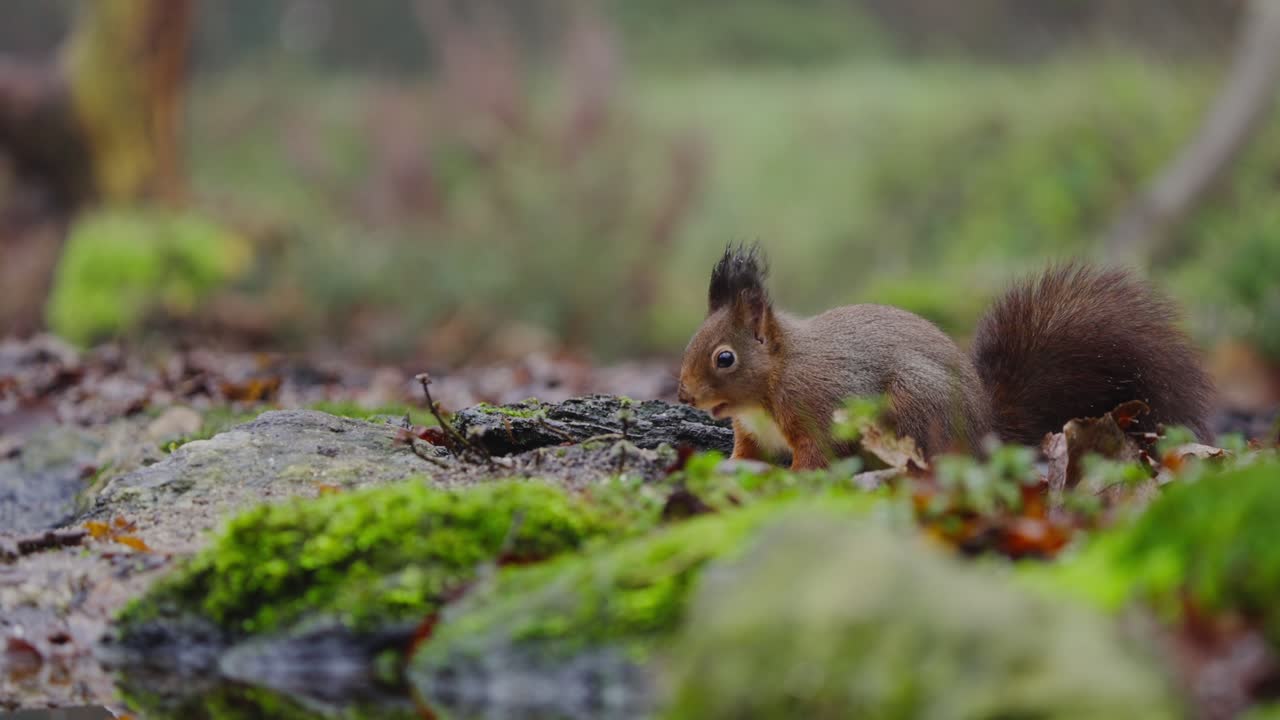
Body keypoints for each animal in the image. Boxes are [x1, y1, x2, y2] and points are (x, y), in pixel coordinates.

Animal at [676, 245, 1214, 469]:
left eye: (725, 358)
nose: (684, 394)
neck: (775, 376)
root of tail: (984, 430)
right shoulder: (752, 434)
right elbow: (746, 454)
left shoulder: (817, 408)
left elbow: (816, 457)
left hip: (916, 400)